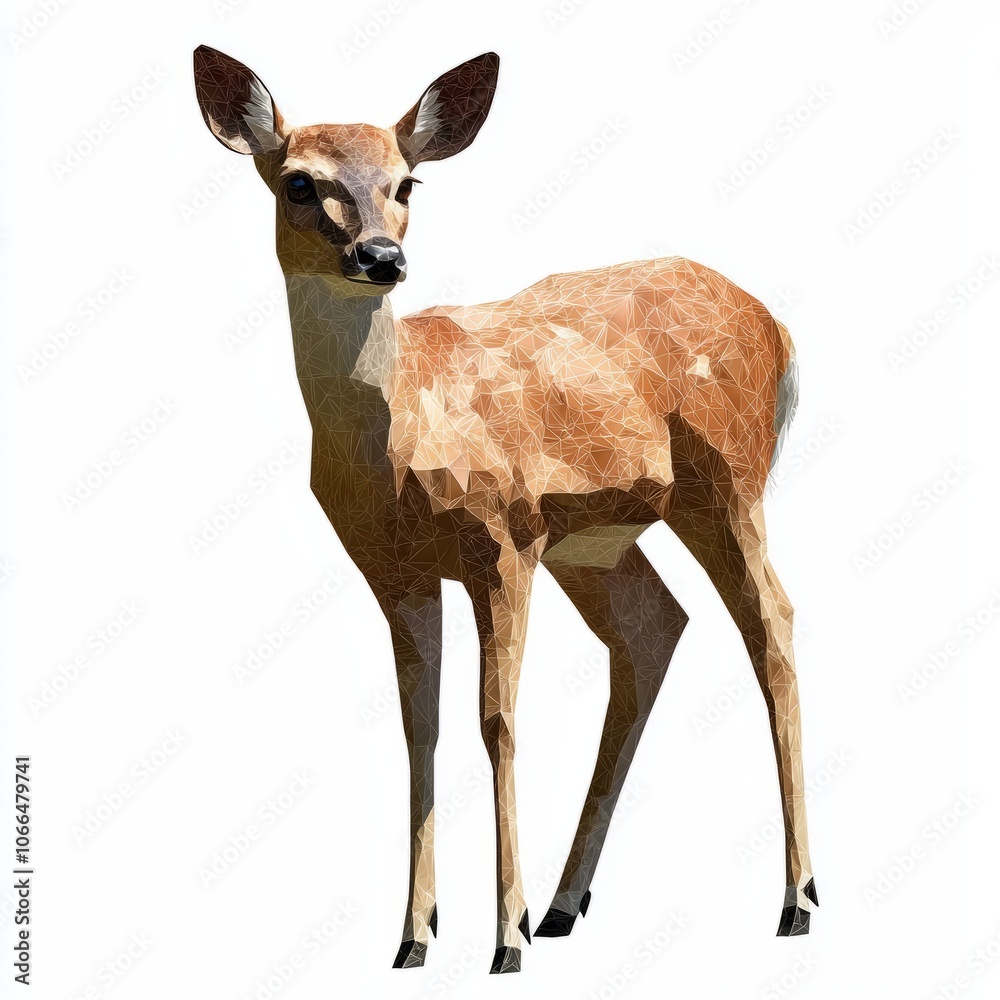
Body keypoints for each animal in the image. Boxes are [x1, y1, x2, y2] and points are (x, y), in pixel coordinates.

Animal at [193, 45, 817, 974]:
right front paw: (414, 936)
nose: (382, 257)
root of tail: (778, 328)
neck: (401, 433)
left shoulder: (500, 537)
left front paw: (503, 939)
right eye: (299, 182)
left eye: (408, 182)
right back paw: (566, 904)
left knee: (771, 620)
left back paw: (796, 899)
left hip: (726, 482)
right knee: (655, 626)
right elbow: (420, 728)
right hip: (596, 540)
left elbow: (497, 721)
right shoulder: (396, 570)